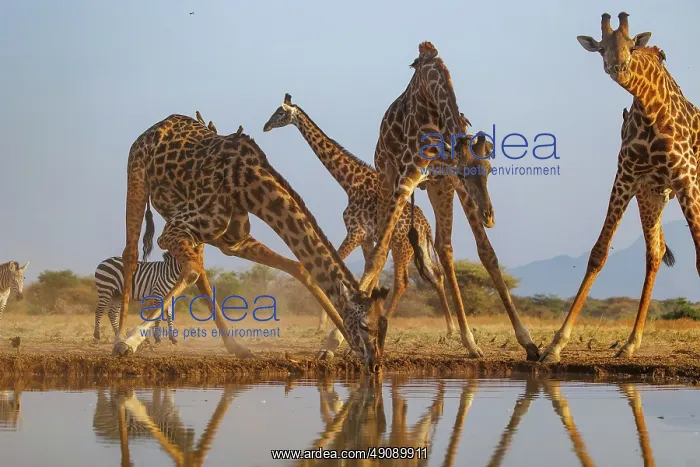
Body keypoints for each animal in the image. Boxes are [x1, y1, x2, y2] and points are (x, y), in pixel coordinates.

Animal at [114, 114, 389, 373]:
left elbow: (300, 268)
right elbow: (190, 273)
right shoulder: (172, 231)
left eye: (384, 325)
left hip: (201, 233)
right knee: (131, 254)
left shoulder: (233, 241)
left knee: (200, 270)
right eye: (365, 326)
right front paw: (131, 341)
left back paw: (236, 346)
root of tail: (158, 125)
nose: (376, 365)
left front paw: (334, 346)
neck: (249, 187)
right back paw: (119, 339)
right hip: (137, 175)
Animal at [262, 93, 458, 338]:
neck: (349, 182)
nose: (266, 126)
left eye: (280, 112)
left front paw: (327, 325)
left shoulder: (356, 232)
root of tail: (425, 226)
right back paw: (451, 328)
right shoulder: (366, 238)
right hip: (418, 247)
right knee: (436, 276)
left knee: (403, 282)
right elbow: (368, 278)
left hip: (401, 246)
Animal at [356, 41, 539, 360]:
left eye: (489, 170)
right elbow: (378, 254)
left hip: (437, 188)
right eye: (467, 173)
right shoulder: (410, 176)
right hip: (386, 175)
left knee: (444, 246)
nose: (489, 216)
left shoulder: (450, 181)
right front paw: (335, 338)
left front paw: (528, 341)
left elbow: (487, 253)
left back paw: (469, 341)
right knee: (381, 243)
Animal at [539, 11, 699, 362]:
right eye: (601, 48)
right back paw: (630, 343)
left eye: (631, 45)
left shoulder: (686, 179)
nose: (618, 67)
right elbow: (598, 253)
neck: (653, 111)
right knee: (654, 253)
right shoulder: (627, 177)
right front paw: (554, 346)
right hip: (652, 196)